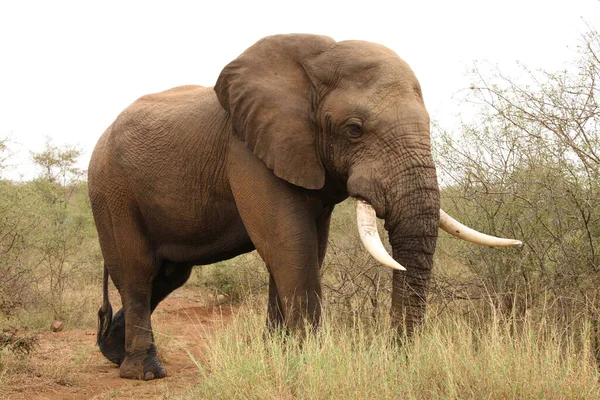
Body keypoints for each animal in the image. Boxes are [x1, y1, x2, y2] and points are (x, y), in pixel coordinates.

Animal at [88, 32, 520, 380]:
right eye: (354, 129)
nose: (396, 357)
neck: (313, 64)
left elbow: (307, 248)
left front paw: (279, 356)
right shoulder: (247, 151)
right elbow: (291, 245)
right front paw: (308, 363)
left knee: (169, 274)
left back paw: (112, 352)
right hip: (111, 189)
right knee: (139, 271)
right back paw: (144, 373)